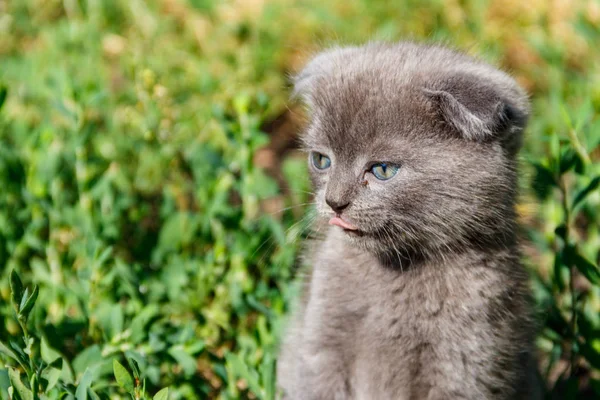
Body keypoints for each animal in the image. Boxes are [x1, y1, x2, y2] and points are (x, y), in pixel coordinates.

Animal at [276, 42, 540, 398]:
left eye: (383, 170)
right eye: (321, 160)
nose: (334, 201)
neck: (398, 267)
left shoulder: (464, 360)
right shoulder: (320, 342)